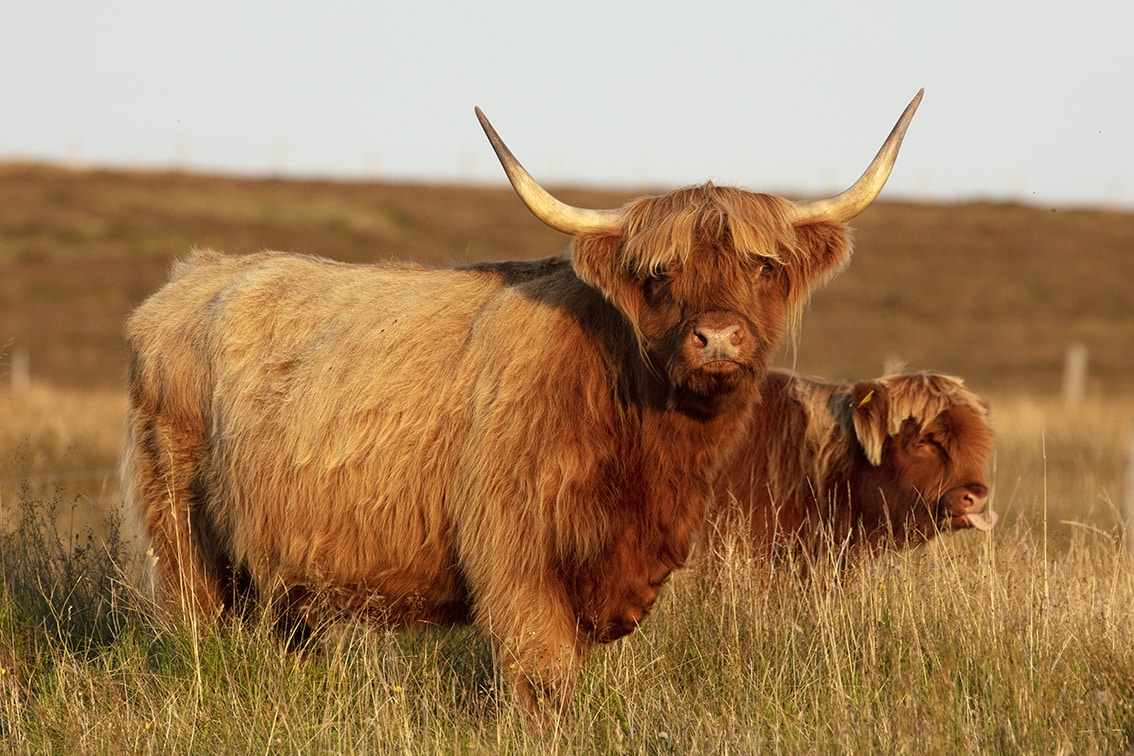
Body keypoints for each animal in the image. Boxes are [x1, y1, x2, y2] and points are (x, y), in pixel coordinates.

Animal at [121, 91, 920, 725]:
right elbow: (542, 676)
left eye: (763, 265)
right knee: (198, 625)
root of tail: (193, 276)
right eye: (660, 273)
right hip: (182, 531)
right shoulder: (516, 558)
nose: (717, 337)